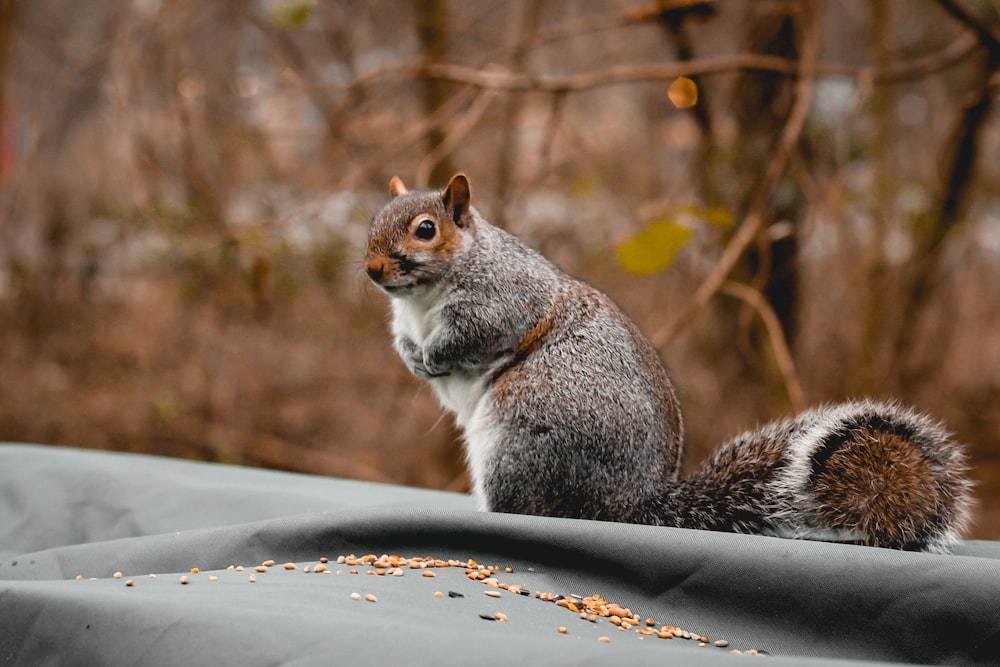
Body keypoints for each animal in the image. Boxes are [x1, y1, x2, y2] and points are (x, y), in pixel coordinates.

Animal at [364, 172, 972, 552]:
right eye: (373, 221)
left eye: (426, 230)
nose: (372, 270)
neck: (421, 301)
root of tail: (633, 502)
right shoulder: (405, 322)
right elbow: (401, 342)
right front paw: (414, 358)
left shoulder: (504, 299)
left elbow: (475, 334)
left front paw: (435, 356)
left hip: (522, 434)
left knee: (530, 506)